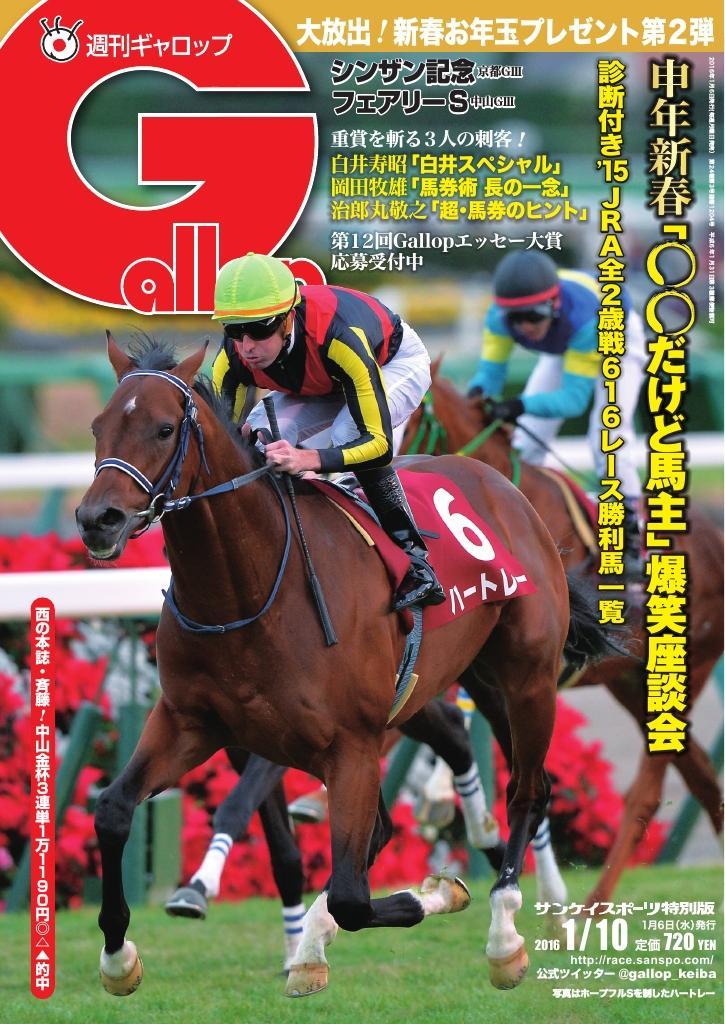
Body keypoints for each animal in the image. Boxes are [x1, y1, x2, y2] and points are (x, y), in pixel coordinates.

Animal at [76, 334, 616, 998]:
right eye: (99, 426)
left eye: (163, 428)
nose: (97, 520)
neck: (248, 591)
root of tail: (506, 488)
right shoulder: (190, 724)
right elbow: (113, 810)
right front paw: (118, 956)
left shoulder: (351, 745)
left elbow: (355, 895)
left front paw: (439, 892)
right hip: (475, 679)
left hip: (527, 678)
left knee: (528, 790)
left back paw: (505, 933)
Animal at [402, 366, 724, 908]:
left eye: (407, 418)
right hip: (631, 683)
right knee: (700, 776)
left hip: (688, 668)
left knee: (651, 790)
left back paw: (594, 904)